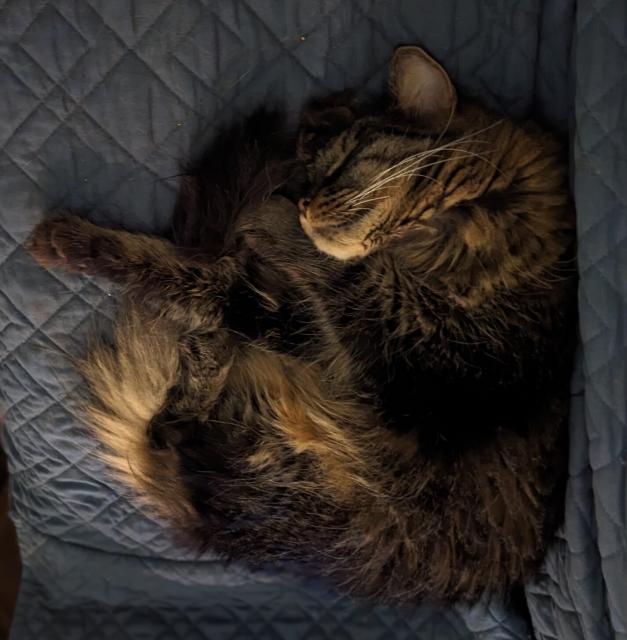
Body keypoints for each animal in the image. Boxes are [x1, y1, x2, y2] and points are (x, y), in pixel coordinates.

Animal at [29, 47, 580, 604]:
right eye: (311, 179)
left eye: (345, 162)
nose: (303, 204)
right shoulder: (315, 328)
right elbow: (181, 276)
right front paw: (73, 243)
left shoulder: (424, 354)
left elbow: (340, 277)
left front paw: (276, 220)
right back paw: (175, 409)